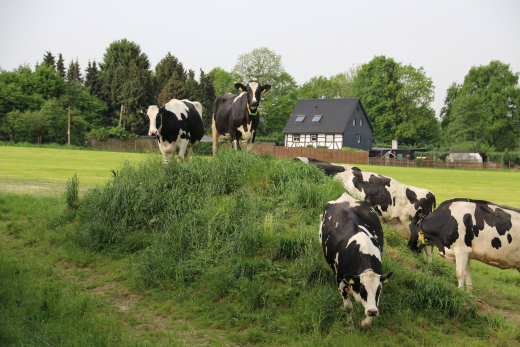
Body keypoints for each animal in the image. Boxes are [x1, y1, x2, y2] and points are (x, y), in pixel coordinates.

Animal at [318, 193, 392, 332]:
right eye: (362, 289)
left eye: (379, 289)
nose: (373, 312)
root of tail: (345, 196)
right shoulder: (341, 282)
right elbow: (348, 307)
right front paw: (350, 325)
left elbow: (371, 306)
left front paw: (364, 324)